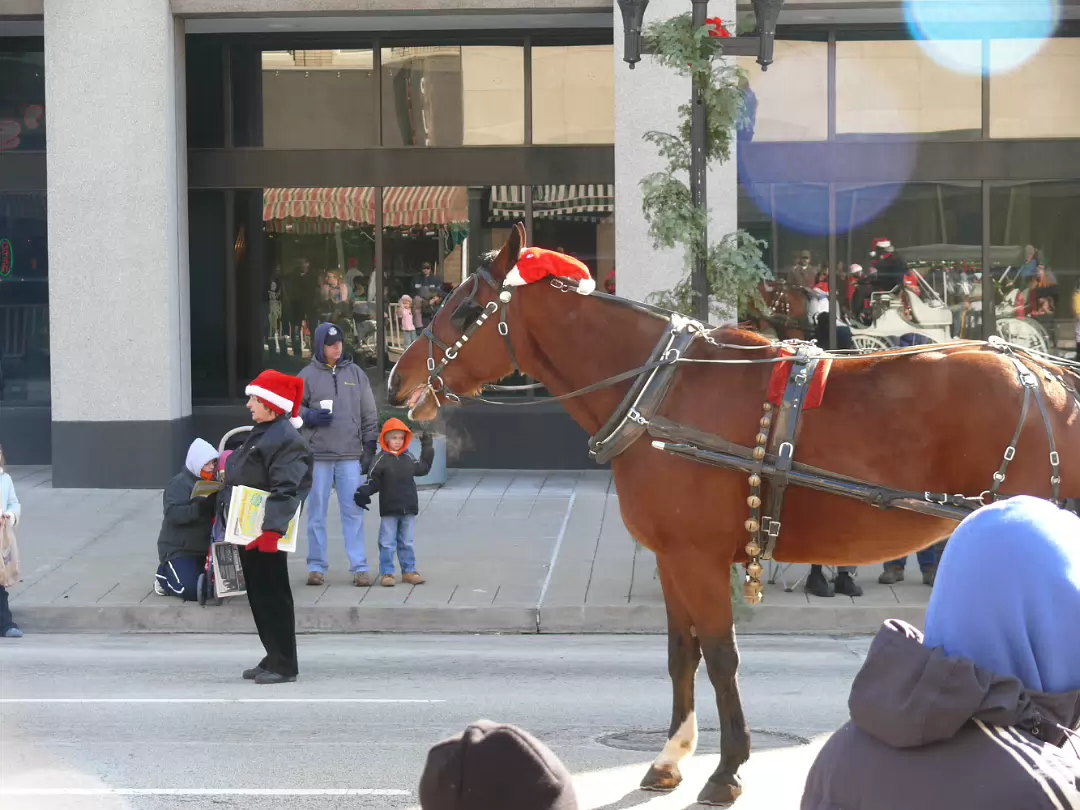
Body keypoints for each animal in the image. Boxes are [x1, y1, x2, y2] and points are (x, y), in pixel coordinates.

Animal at [384, 225, 1075, 807]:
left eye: (465, 311)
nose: (396, 376)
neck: (660, 393)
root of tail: (1044, 374)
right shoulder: (671, 557)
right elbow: (680, 653)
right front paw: (671, 757)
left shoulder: (698, 557)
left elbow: (720, 656)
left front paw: (727, 768)